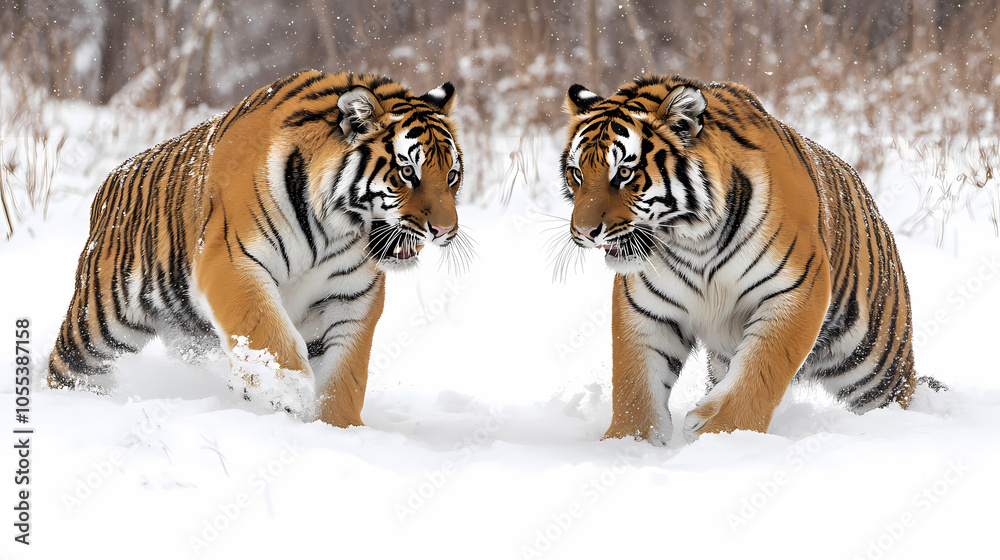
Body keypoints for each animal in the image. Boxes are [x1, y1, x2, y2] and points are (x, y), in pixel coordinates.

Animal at [47, 70, 465, 428]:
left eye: (452, 176)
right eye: (407, 172)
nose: (445, 230)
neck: (334, 230)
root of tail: (110, 181)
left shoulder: (351, 299)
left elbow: (345, 379)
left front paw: (339, 431)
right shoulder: (233, 262)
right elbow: (267, 334)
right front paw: (287, 392)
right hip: (99, 323)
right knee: (64, 364)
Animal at [559, 74, 927, 444]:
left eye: (624, 174)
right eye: (577, 174)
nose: (585, 231)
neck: (694, 240)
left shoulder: (797, 289)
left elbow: (761, 371)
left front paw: (721, 434)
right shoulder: (646, 308)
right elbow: (634, 384)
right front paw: (628, 443)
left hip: (874, 363)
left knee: (900, 392)